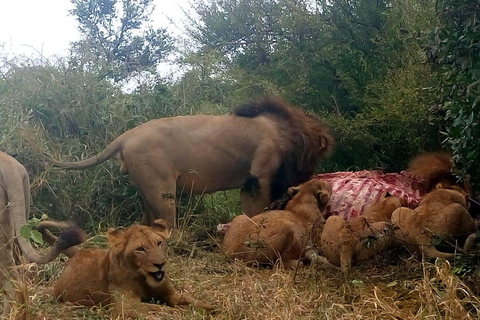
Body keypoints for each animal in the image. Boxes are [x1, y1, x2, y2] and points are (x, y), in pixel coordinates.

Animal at [39, 218, 214, 318]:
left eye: (159, 243)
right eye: (140, 249)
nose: (160, 264)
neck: (144, 279)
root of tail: (80, 251)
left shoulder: (171, 294)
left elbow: (190, 300)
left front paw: (209, 307)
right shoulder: (125, 306)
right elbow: (157, 308)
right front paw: (181, 313)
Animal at [50, 99, 332, 226]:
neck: (285, 133)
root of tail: (124, 137)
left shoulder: (250, 183)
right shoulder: (259, 179)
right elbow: (255, 211)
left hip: (146, 191)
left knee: (147, 221)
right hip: (161, 190)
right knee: (166, 224)